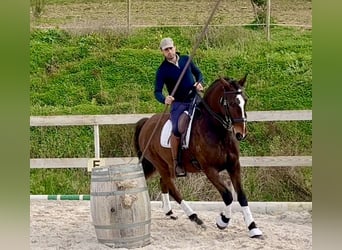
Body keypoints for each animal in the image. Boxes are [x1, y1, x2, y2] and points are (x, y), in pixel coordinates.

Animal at [133, 74, 262, 238]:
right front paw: (223, 221)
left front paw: (253, 227)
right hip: (159, 163)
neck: (217, 132)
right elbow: (227, 195)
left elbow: (241, 195)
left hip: (166, 165)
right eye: (232, 103)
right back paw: (194, 217)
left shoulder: (234, 165)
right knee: (172, 188)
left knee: (164, 182)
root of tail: (147, 122)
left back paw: (170, 212)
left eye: (245, 100)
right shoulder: (210, 169)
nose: (241, 133)